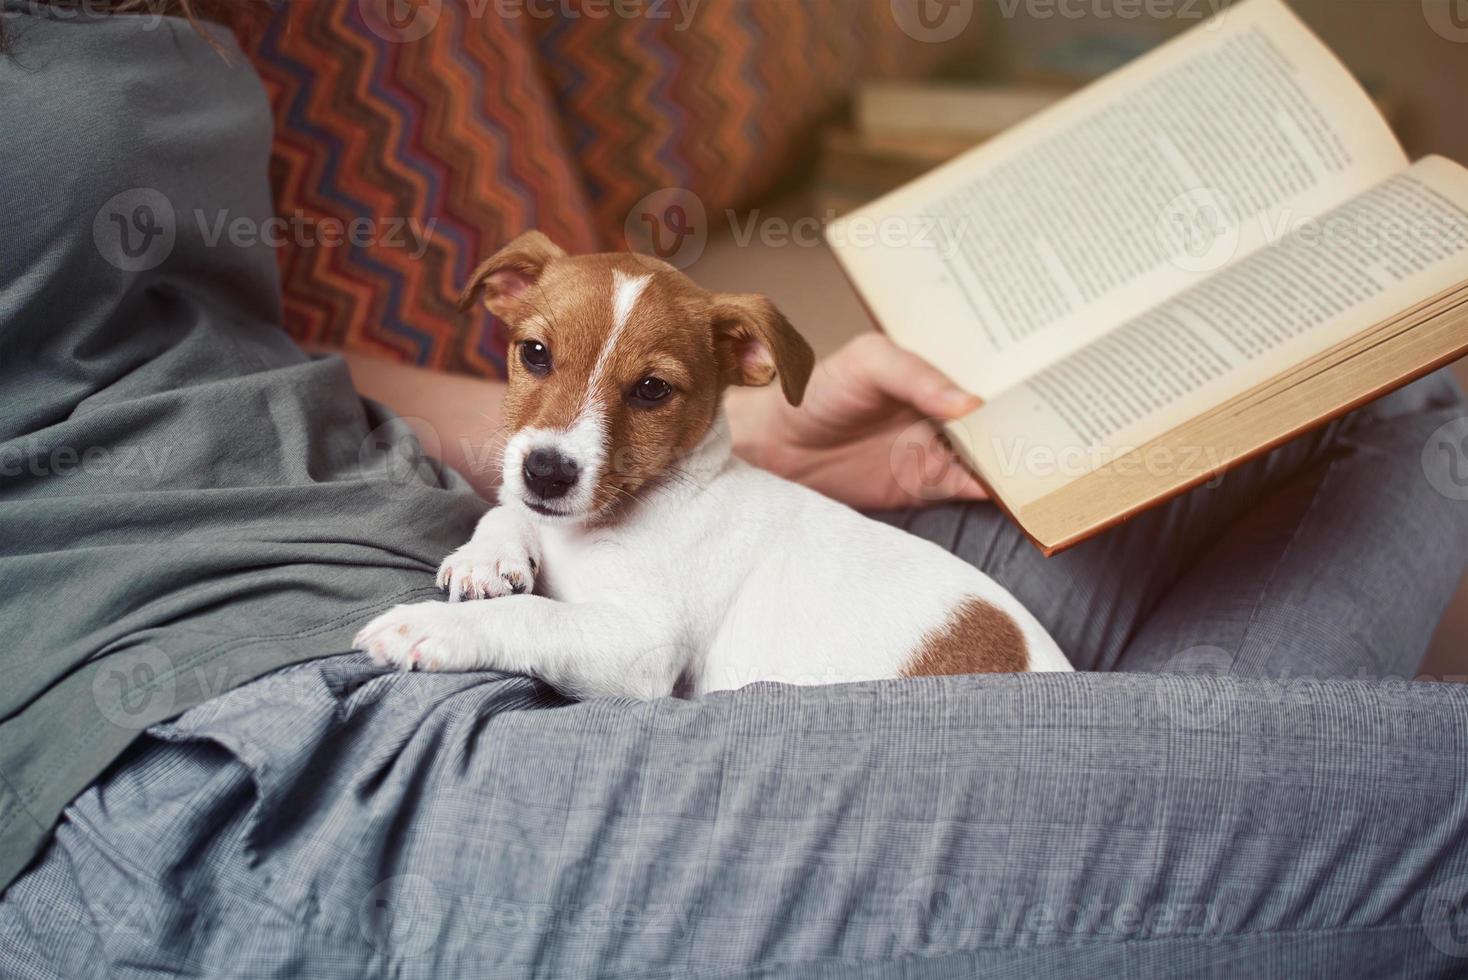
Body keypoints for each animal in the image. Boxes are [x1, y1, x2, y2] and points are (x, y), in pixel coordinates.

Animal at [355, 233, 1068, 692]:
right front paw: (486, 558)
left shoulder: (640, 650)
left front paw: (431, 627)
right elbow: (506, 514)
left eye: (652, 390)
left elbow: (530, 615)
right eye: (534, 353)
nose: (548, 472)